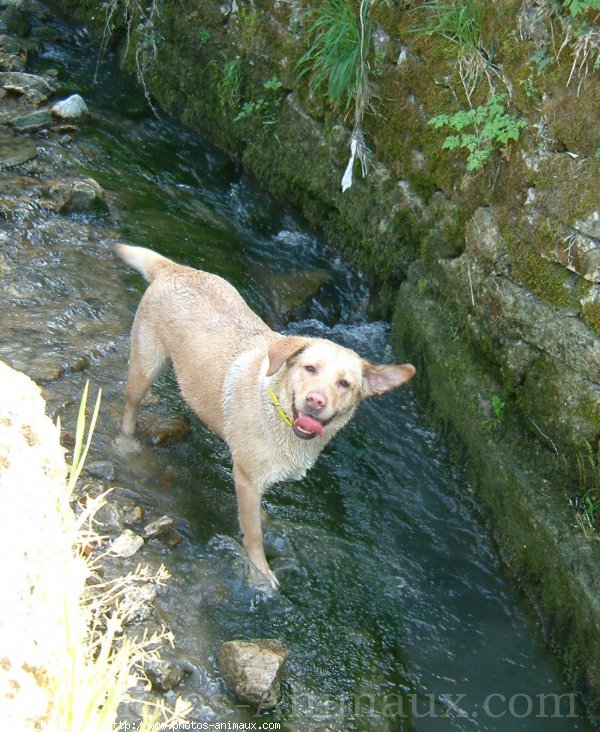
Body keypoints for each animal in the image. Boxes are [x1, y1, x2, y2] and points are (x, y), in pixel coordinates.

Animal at [115, 246, 414, 588]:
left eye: (344, 383)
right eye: (309, 368)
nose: (315, 400)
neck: (279, 411)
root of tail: (175, 269)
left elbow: (260, 518)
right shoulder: (246, 480)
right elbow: (254, 535)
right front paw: (260, 573)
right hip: (145, 366)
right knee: (129, 407)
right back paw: (126, 444)